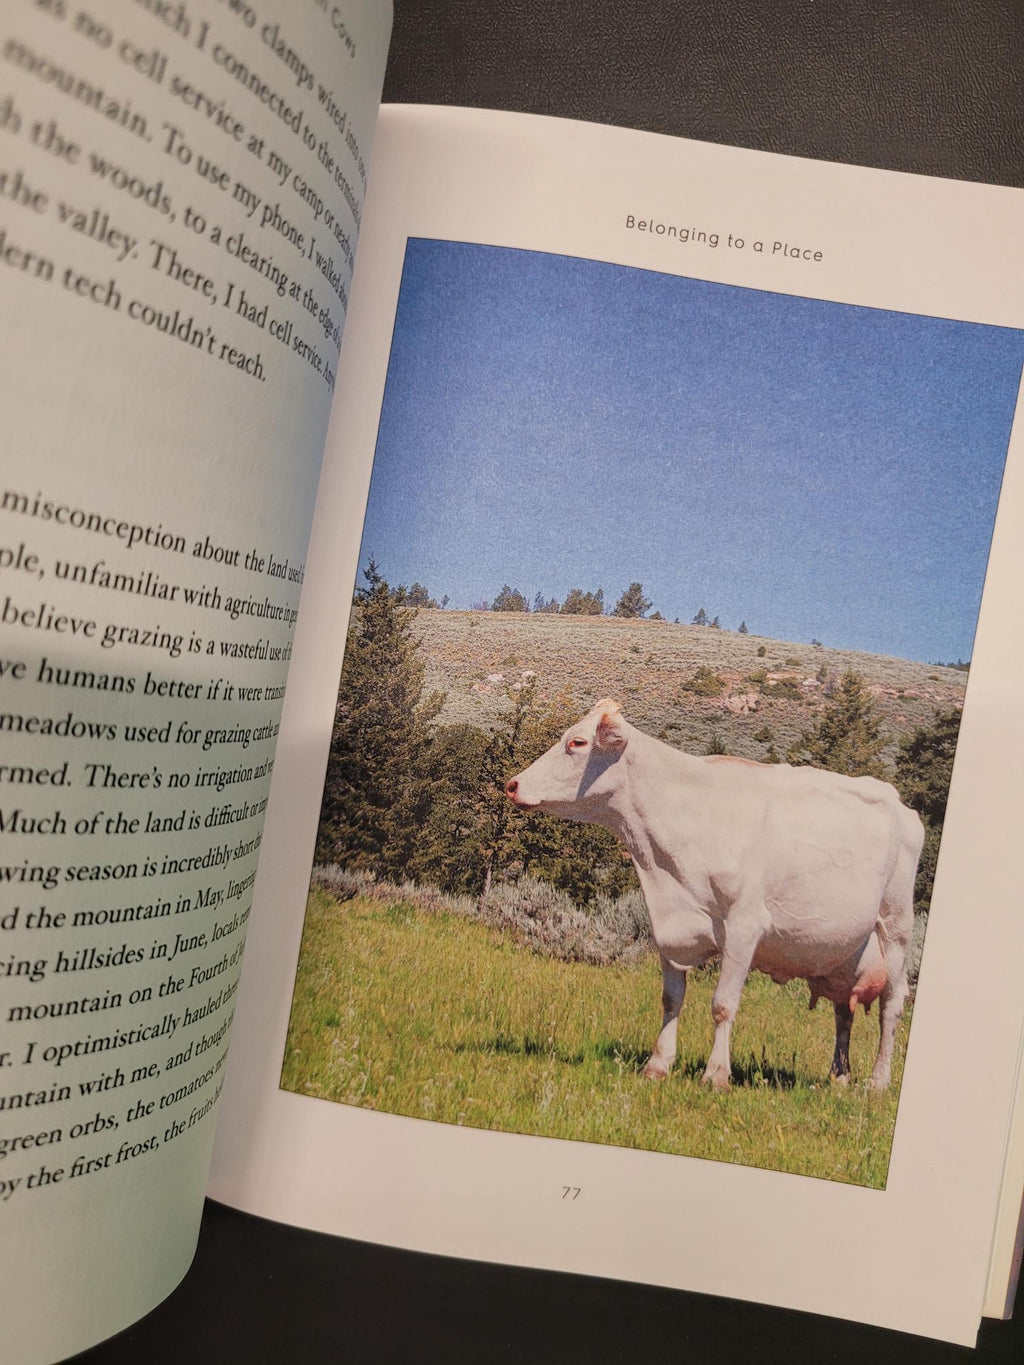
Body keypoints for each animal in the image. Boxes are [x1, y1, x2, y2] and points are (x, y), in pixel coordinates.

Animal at [505, 698, 924, 1091]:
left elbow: (723, 1003)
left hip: (897, 926)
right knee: (843, 1009)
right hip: (844, 950)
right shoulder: (669, 925)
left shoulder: (745, 926)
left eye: (577, 742)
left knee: (891, 1004)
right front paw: (657, 1066)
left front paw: (716, 1075)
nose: (513, 785)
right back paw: (839, 1078)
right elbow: (671, 998)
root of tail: (898, 801)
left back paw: (878, 1082)